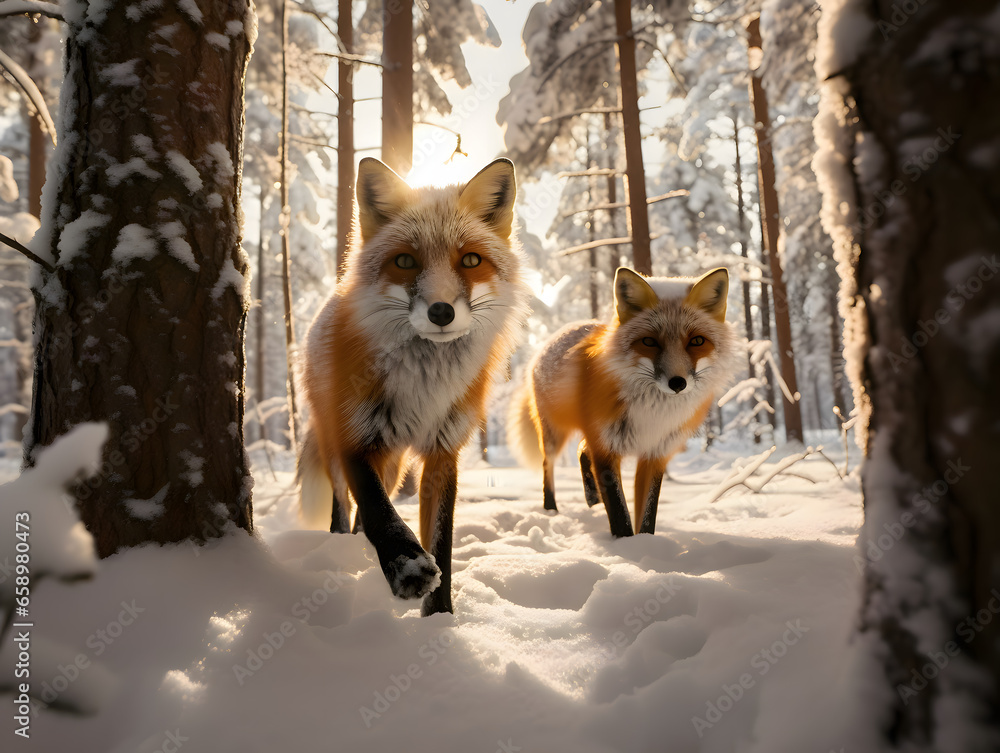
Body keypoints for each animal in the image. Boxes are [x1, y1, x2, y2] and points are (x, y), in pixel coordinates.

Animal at [298, 157, 531, 615]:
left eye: (471, 259)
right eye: (404, 261)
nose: (441, 311)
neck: (425, 386)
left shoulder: (443, 451)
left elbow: (441, 542)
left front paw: (440, 617)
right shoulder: (354, 436)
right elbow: (378, 511)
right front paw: (405, 567)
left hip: (393, 462)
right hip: (341, 446)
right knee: (344, 508)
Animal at [509, 266, 736, 537]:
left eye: (697, 341)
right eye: (649, 342)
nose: (677, 383)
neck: (653, 412)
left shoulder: (655, 451)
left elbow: (647, 516)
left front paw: (644, 543)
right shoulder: (605, 447)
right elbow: (619, 514)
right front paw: (626, 544)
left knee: (582, 451)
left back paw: (592, 500)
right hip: (555, 433)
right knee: (549, 465)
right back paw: (551, 509)